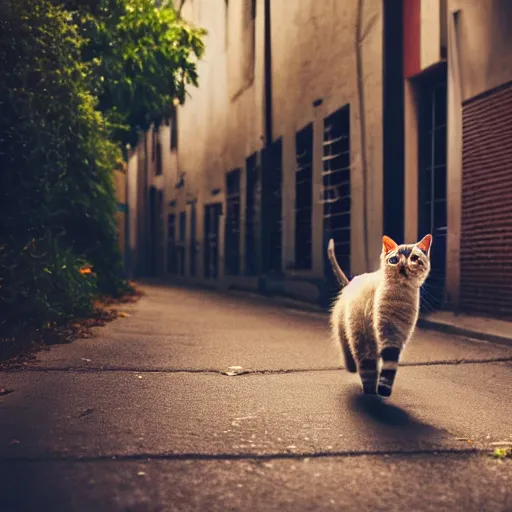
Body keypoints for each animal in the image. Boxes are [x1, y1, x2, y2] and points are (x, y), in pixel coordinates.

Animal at [328, 234, 432, 398]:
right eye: (394, 260)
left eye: (414, 258)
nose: (403, 266)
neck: (399, 298)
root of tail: (349, 284)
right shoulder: (380, 331)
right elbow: (372, 368)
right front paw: (374, 392)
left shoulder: (396, 335)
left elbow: (389, 365)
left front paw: (383, 389)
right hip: (351, 331)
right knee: (348, 351)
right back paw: (354, 370)